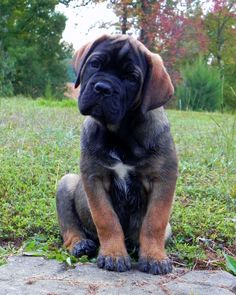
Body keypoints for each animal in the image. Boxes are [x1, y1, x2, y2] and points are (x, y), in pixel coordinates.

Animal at [56, 34, 178, 276]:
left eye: (131, 77)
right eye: (95, 64)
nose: (103, 88)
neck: (120, 132)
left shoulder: (164, 178)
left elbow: (155, 222)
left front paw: (154, 257)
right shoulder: (94, 178)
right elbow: (106, 219)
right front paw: (113, 254)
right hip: (66, 182)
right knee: (69, 227)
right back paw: (80, 244)